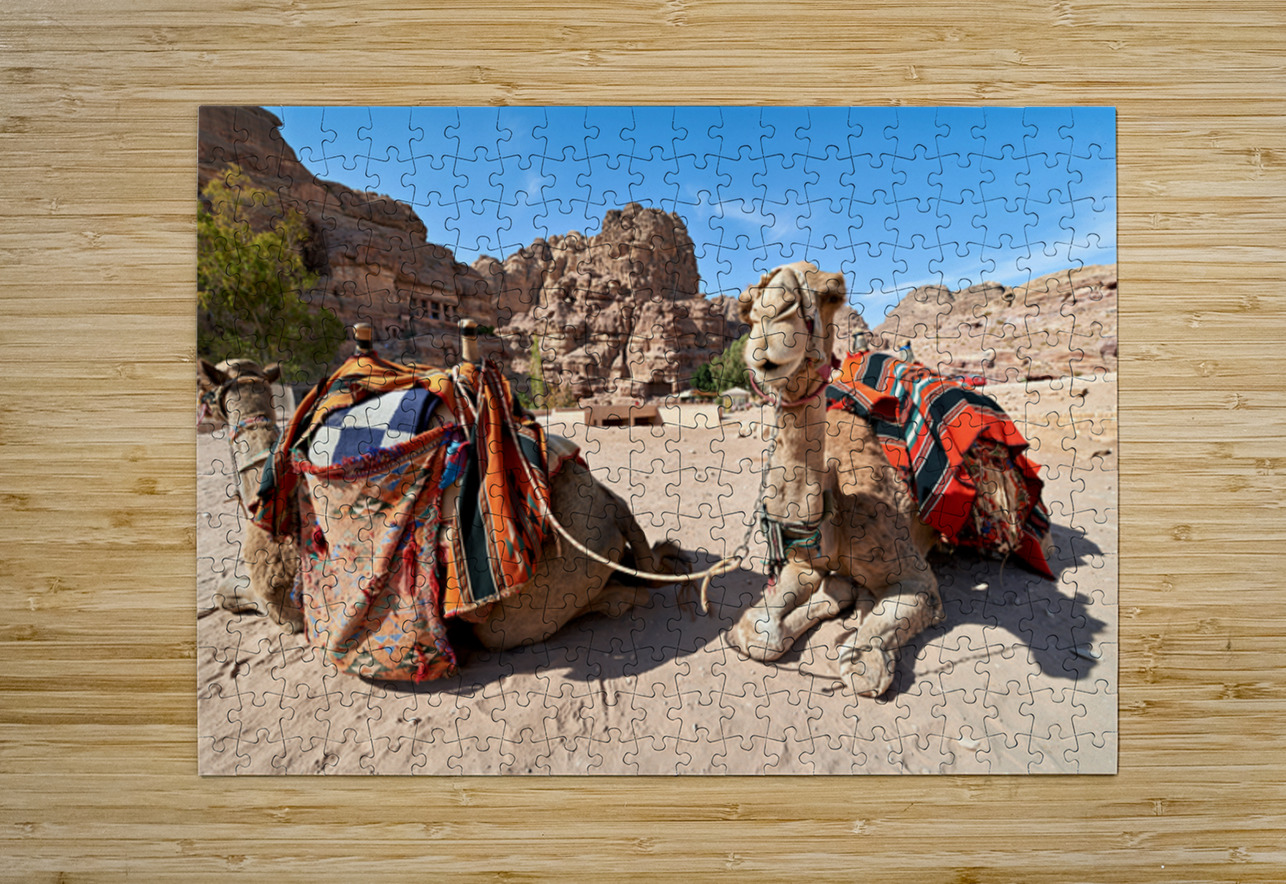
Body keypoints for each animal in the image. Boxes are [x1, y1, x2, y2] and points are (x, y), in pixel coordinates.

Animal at [198, 356, 684, 656]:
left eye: (208, 392)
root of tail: (611, 510)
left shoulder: (284, 607)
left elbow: (227, 591)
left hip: (525, 609)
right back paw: (666, 553)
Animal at [725, 261, 1045, 697]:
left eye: (832, 292)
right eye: (748, 306)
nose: (773, 327)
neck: (836, 505)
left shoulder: (916, 577)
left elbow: (864, 668)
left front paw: (860, 636)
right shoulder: (803, 562)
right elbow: (755, 634)